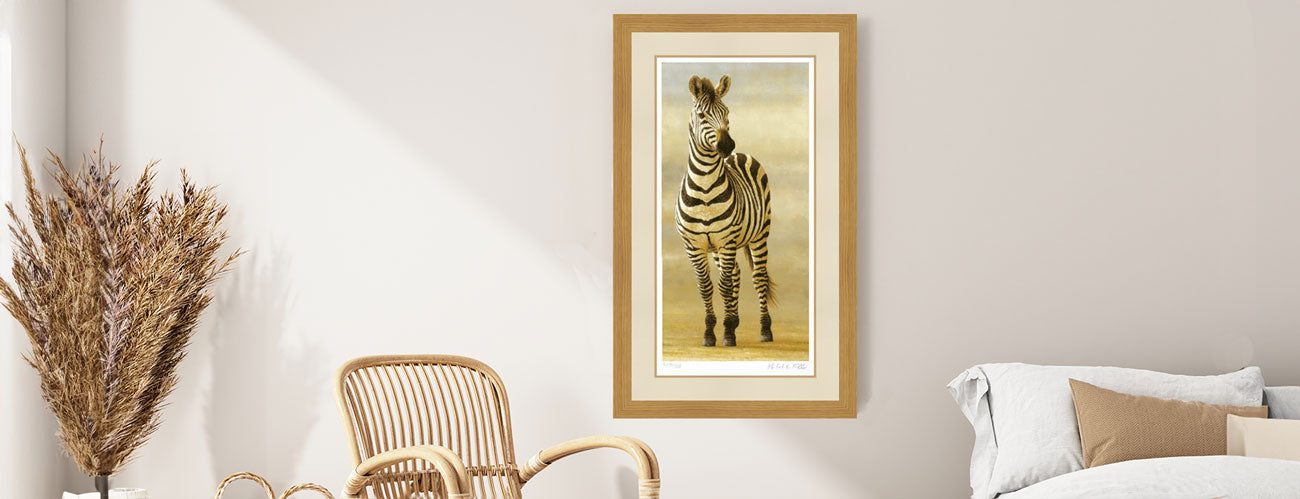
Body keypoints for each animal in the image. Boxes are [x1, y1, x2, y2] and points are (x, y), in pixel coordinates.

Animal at [675, 74, 776, 347]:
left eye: (727, 112)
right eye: (702, 115)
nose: (727, 145)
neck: (705, 188)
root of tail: (740, 155)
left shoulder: (727, 240)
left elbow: (724, 286)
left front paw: (728, 333)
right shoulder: (694, 246)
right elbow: (706, 287)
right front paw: (711, 332)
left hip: (759, 234)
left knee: (758, 277)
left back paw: (765, 330)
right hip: (718, 247)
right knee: (737, 274)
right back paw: (735, 320)